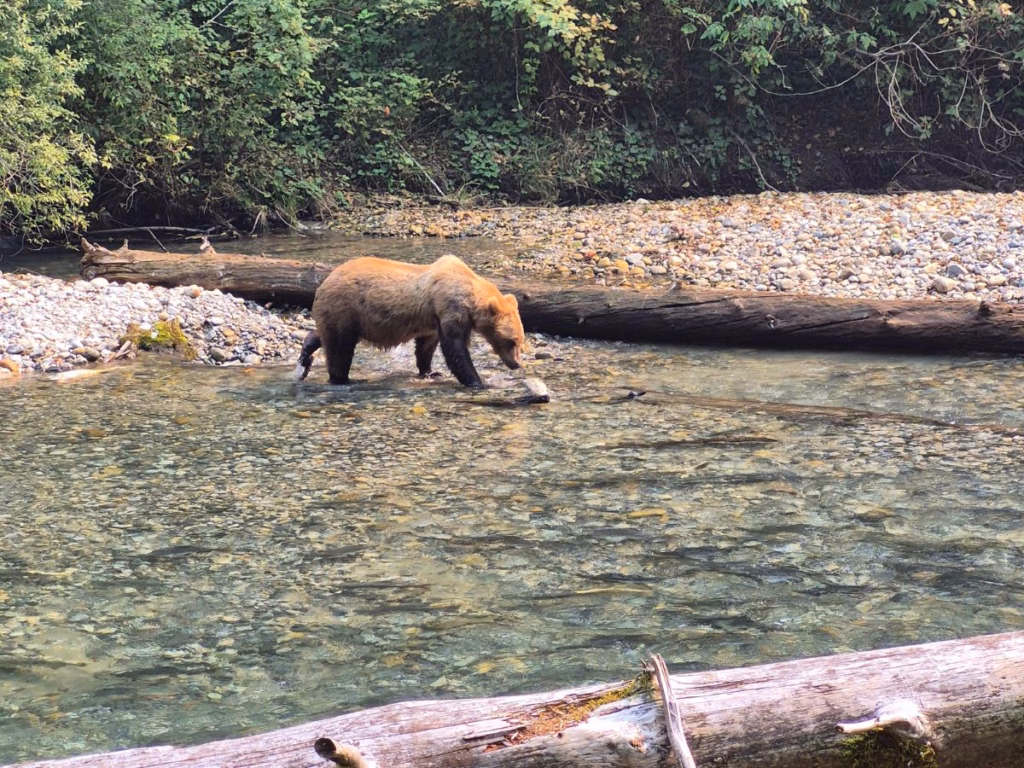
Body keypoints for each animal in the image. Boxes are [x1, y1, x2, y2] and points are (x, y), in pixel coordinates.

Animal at [293, 255, 525, 389]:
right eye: (511, 341)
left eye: (521, 342)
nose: (517, 364)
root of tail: (324, 282)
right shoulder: (450, 308)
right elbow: (455, 350)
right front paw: (478, 382)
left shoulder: (433, 319)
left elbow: (426, 346)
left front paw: (430, 372)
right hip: (345, 308)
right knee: (340, 350)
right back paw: (342, 379)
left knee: (325, 335)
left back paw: (306, 352)